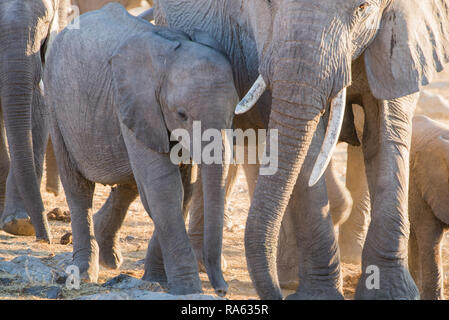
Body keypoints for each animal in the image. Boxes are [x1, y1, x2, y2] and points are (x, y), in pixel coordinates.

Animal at [43, 3, 238, 296]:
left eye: (233, 113)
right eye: (181, 114)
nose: (222, 290)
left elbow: (183, 189)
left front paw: (158, 280)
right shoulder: (136, 103)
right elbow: (164, 188)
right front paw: (187, 289)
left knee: (130, 183)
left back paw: (109, 258)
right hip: (56, 102)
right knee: (78, 188)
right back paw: (85, 273)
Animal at [154, 0, 448, 300]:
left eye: (362, 7)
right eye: (269, 4)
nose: (224, 292)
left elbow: (388, 133)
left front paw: (392, 293)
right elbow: (308, 145)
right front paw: (319, 295)